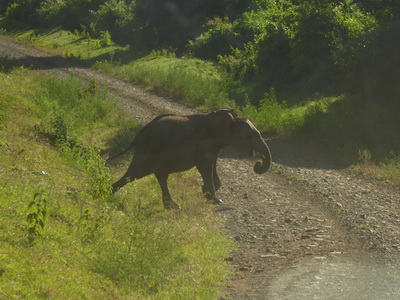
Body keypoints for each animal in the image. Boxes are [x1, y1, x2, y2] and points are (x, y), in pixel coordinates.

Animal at [109, 109, 272, 210]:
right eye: (250, 136)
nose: (257, 164)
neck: (231, 120)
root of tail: (141, 133)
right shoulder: (205, 144)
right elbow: (205, 167)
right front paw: (216, 200)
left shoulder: (215, 146)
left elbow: (211, 166)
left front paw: (206, 192)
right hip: (148, 150)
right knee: (132, 175)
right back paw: (108, 196)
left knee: (161, 176)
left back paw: (172, 206)